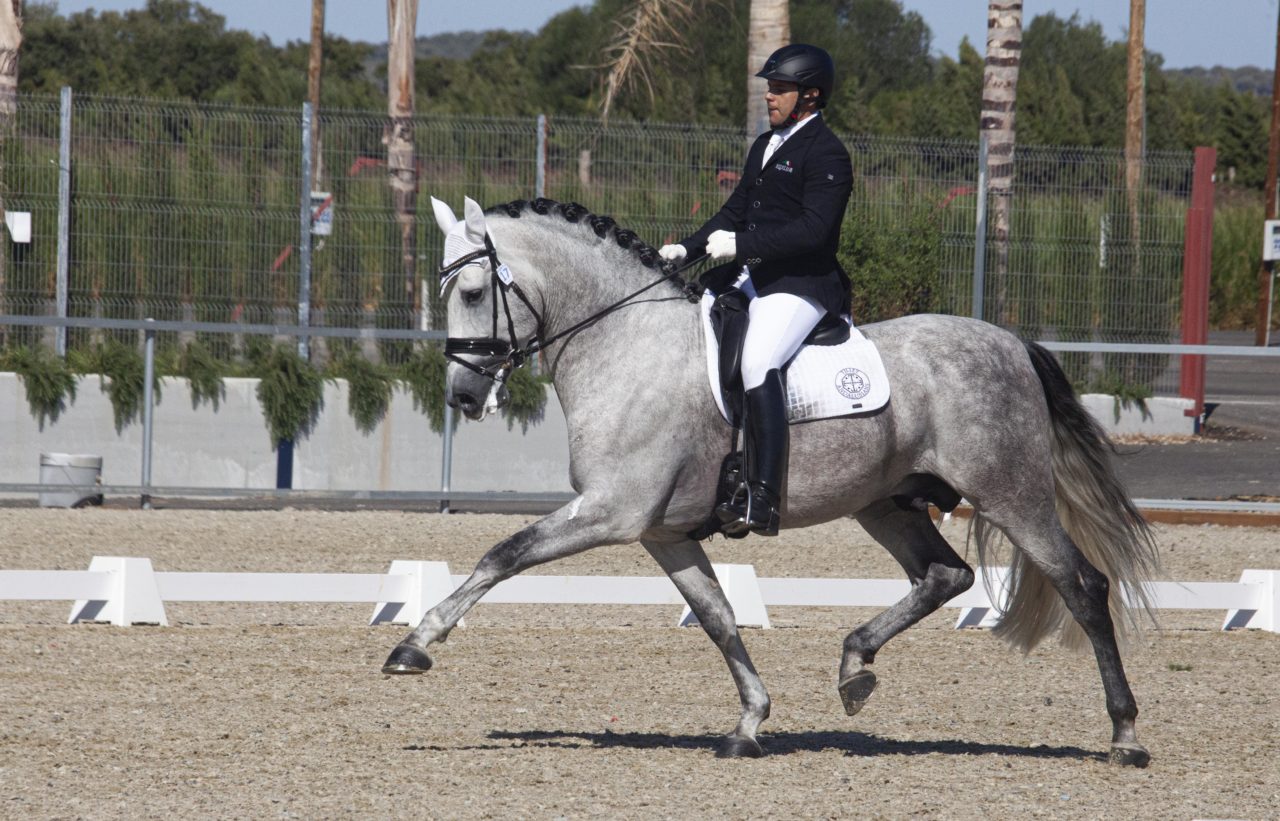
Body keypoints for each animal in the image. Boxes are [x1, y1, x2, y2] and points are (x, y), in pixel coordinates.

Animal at [378, 194, 1162, 763]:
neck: (625, 345)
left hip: (1011, 495)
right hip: (884, 502)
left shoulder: (610, 511)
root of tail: (1013, 343)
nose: (462, 396)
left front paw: (414, 644)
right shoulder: (661, 531)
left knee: (1083, 586)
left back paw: (1125, 736)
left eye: (472, 291)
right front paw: (750, 723)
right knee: (945, 575)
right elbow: (719, 616)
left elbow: (502, 553)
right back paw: (854, 666)